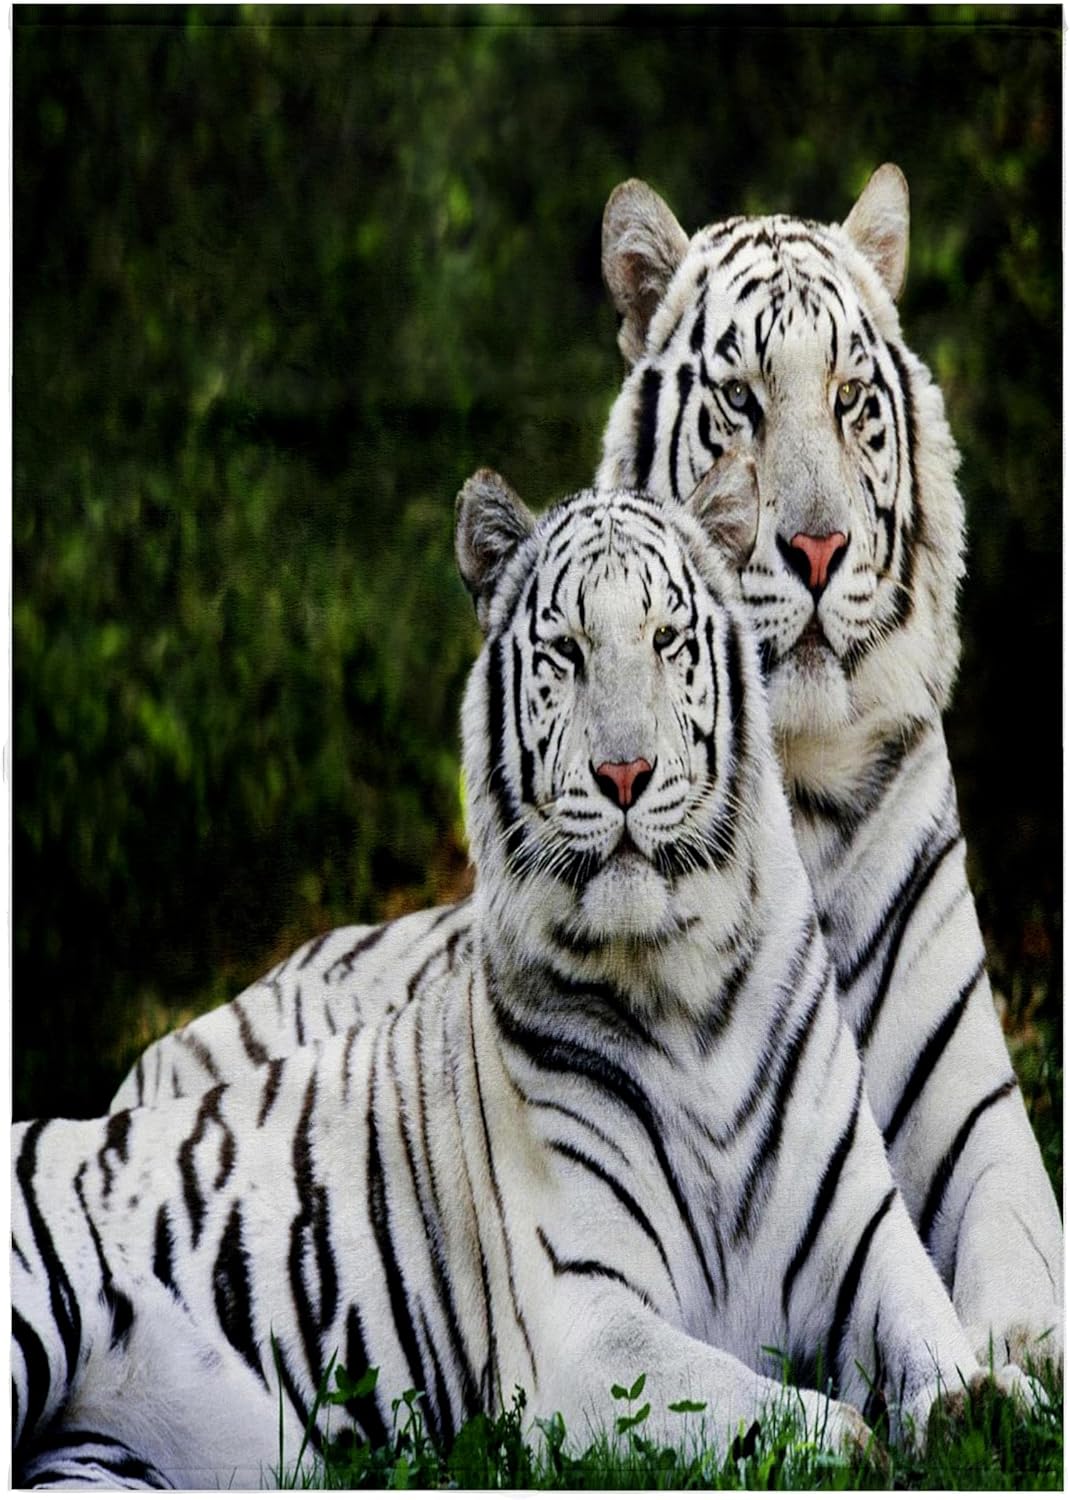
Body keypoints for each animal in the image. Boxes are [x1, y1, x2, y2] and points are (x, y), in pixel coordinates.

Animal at [14, 477, 1030, 1487]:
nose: (624, 774)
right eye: (566, 653)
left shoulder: (867, 1242)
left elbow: (935, 1336)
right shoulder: (584, 1329)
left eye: (667, 639)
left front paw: (987, 1407)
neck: (686, 989)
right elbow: (764, 1408)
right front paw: (858, 1445)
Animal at [111, 167, 1062, 1373]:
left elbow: (1018, 1275)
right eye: (741, 403)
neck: (794, 785)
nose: (813, 549)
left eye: (852, 398)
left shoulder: (977, 1119)